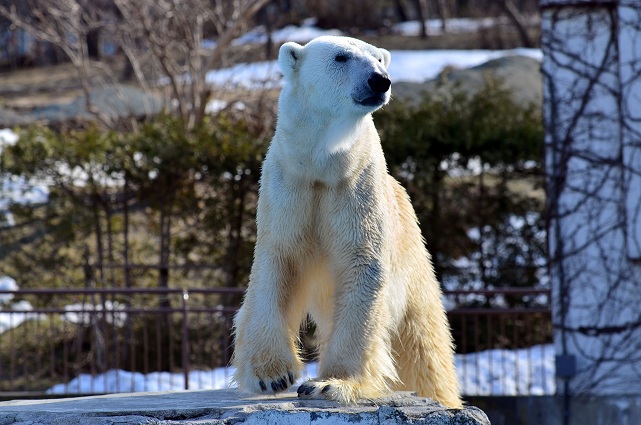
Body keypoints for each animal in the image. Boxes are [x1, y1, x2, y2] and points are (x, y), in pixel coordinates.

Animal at [230, 35, 460, 408]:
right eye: (341, 57)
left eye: (378, 58)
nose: (380, 80)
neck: (321, 166)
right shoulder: (288, 187)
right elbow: (278, 262)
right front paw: (272, 375)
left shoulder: (355, 188)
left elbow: (361, 265)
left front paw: (330, 383)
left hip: (413, 264)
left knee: (423, 349)